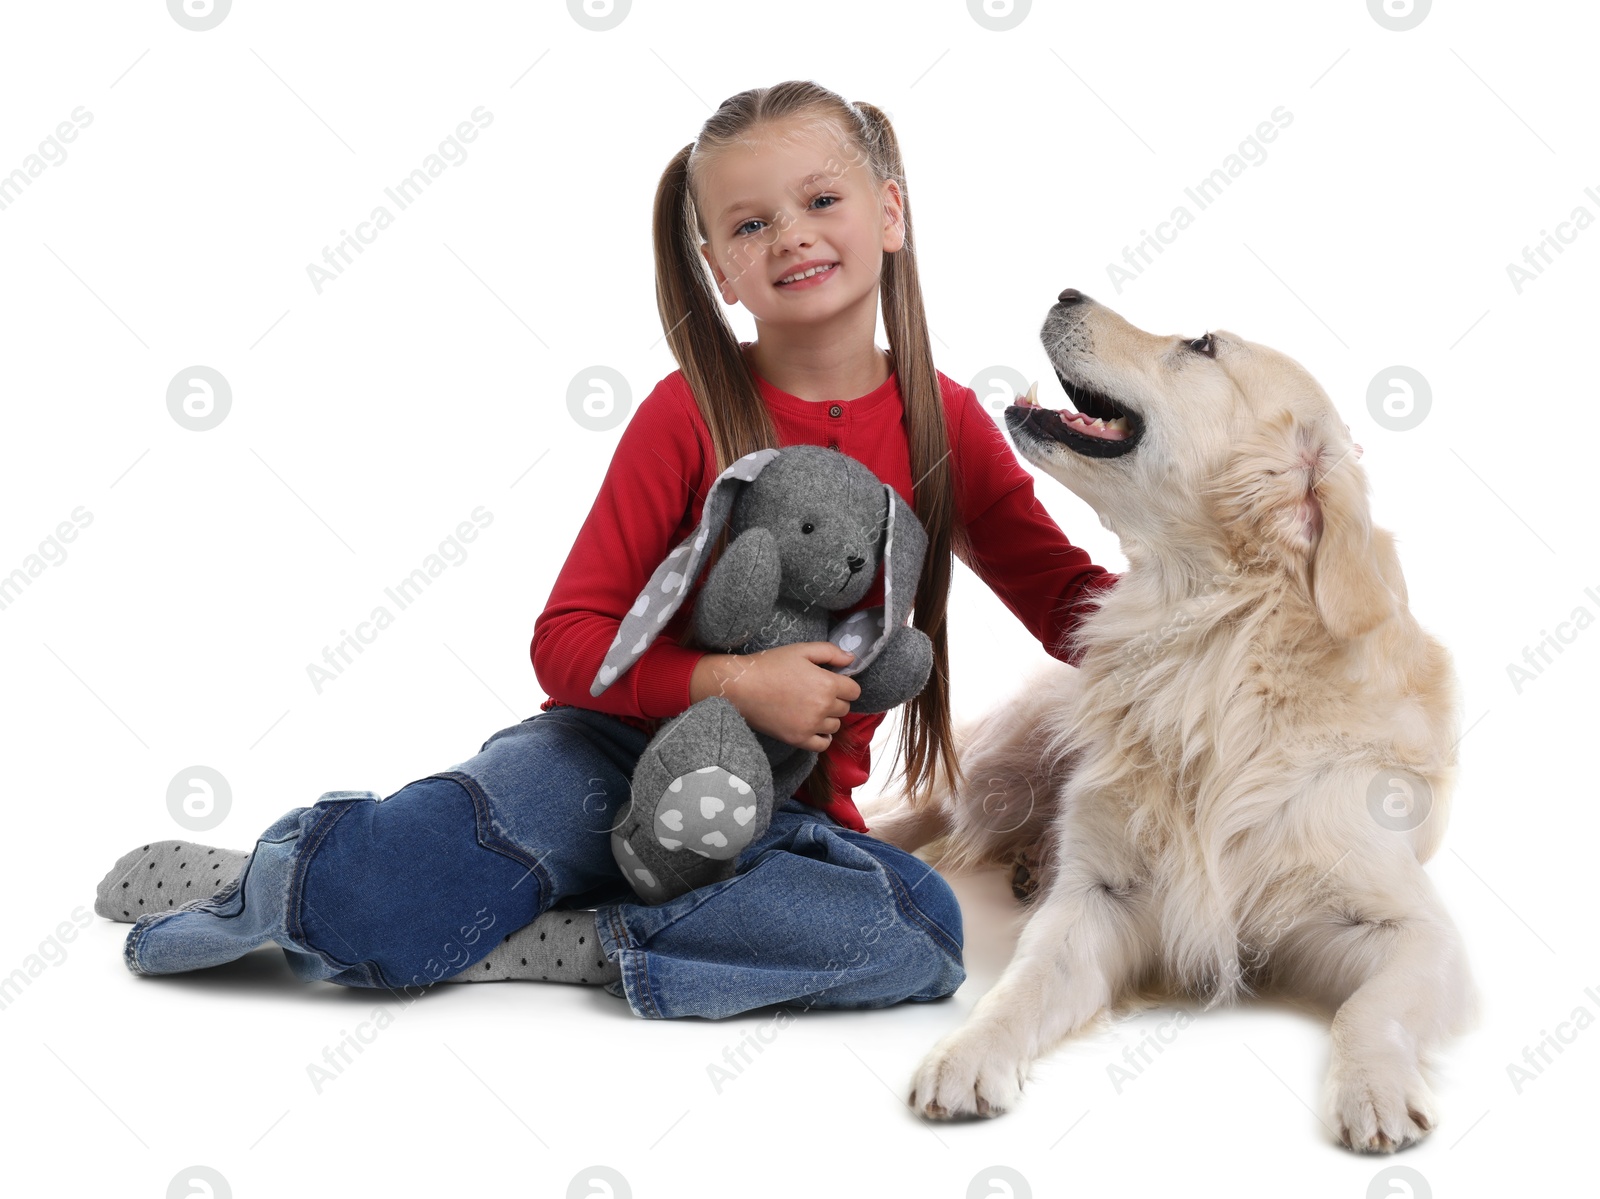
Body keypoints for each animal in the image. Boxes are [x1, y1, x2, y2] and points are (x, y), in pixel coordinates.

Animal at [870, 288, 1478, 1152]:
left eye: (1202, 345)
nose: (1065, 292)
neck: (1211, 644)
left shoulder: (1410, 926)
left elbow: (1372, 1008)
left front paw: (1377, 1087)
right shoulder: (1097, 896)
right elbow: (1023, 983)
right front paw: (968, 1051)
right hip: (1009, 767)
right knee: (931, 809)